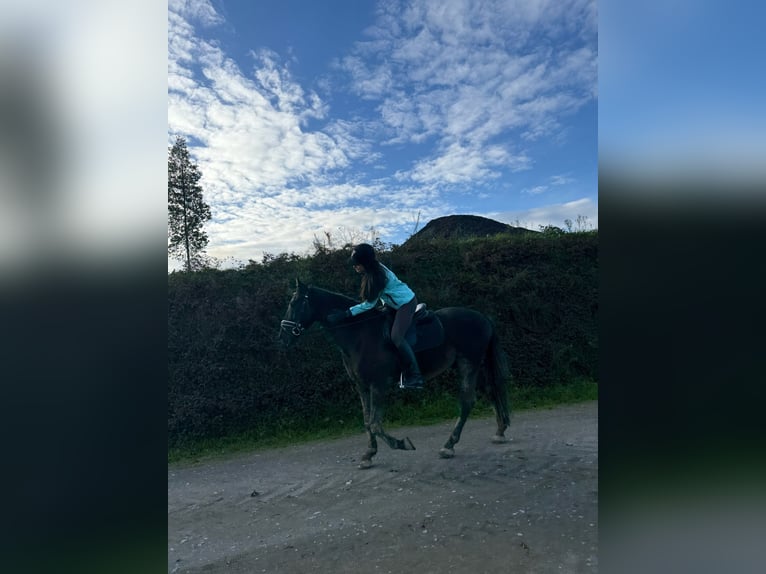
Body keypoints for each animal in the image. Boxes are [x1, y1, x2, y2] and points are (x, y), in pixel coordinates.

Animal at [279, 279, 511, 469]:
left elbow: (375, 423)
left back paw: (449, 445)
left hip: (468, 366)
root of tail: (482, 317)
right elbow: (367, 420)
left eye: (294, 303)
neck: (360, 334)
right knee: (490, 392)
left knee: (467, 402)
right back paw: (500, 432)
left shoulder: (378, 385)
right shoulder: (362, 386)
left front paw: (401, 444)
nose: (282, 338)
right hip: (473, 366)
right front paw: (368, 455)